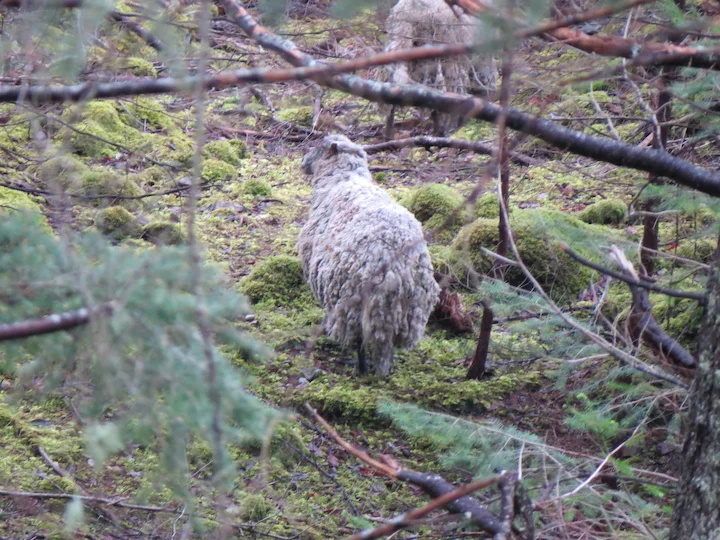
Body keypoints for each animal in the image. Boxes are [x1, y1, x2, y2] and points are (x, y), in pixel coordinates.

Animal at [297, 134, 441, 377]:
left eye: (318, 145)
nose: (301, 163)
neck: (341, 180)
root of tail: (395, 268)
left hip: (354, 301)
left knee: (361, 341)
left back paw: (362, 369)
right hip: (407, 311)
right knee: (386, 345)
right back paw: (385, 370)